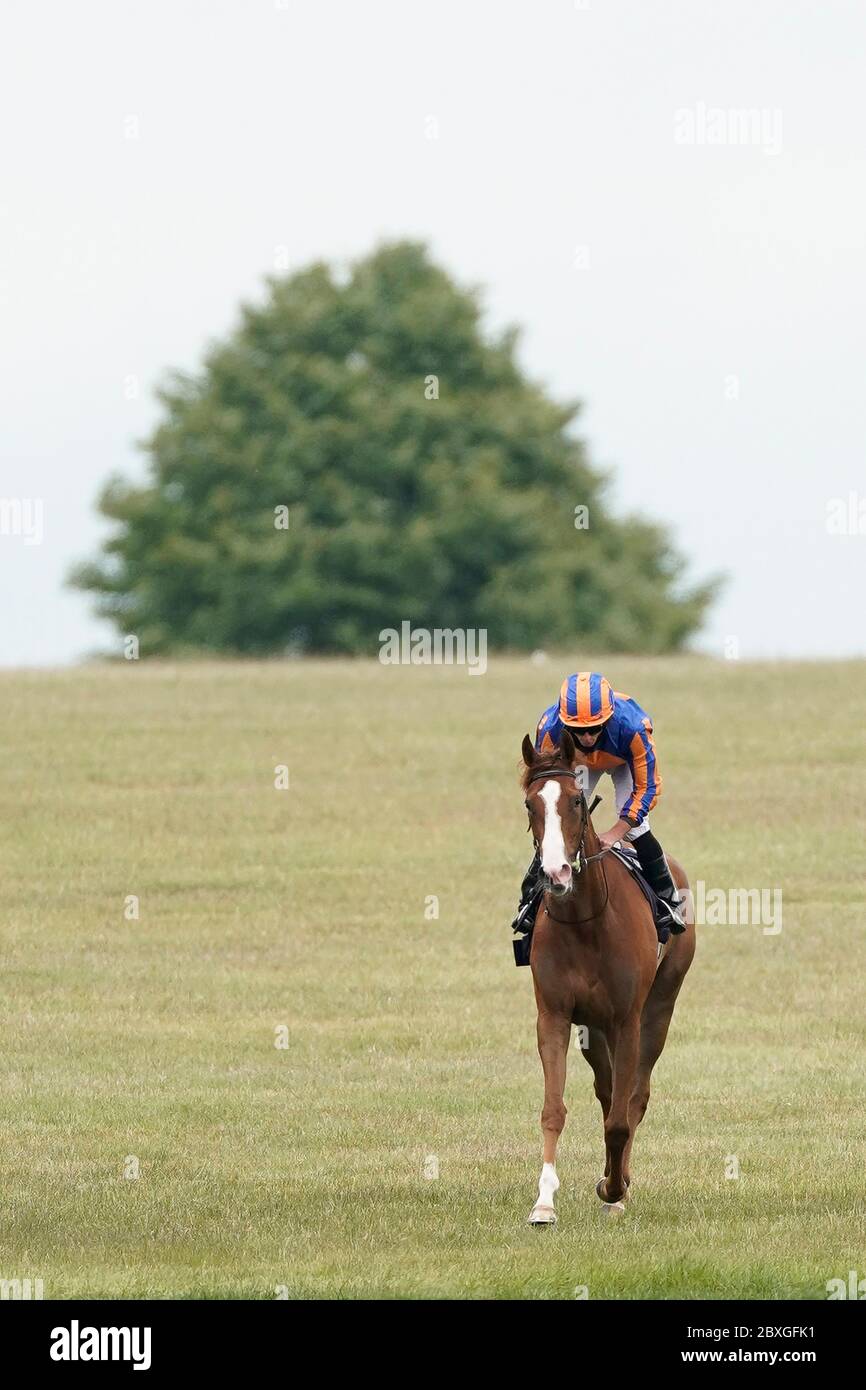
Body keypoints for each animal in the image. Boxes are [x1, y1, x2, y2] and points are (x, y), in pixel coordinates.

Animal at [522, 722, 697, 1223]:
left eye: (576, 802)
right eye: (530, 804)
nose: (556, 873)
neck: (586, 922)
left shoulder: (627, 1019)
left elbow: (622, 1115)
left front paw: (615, 1188)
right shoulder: (555, 1016)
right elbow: (554, 1109)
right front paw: (544, 1203)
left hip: (659, 1006)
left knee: (634, 1096)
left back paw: (620, 1185)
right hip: (592, 1027)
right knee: (606, 1090)